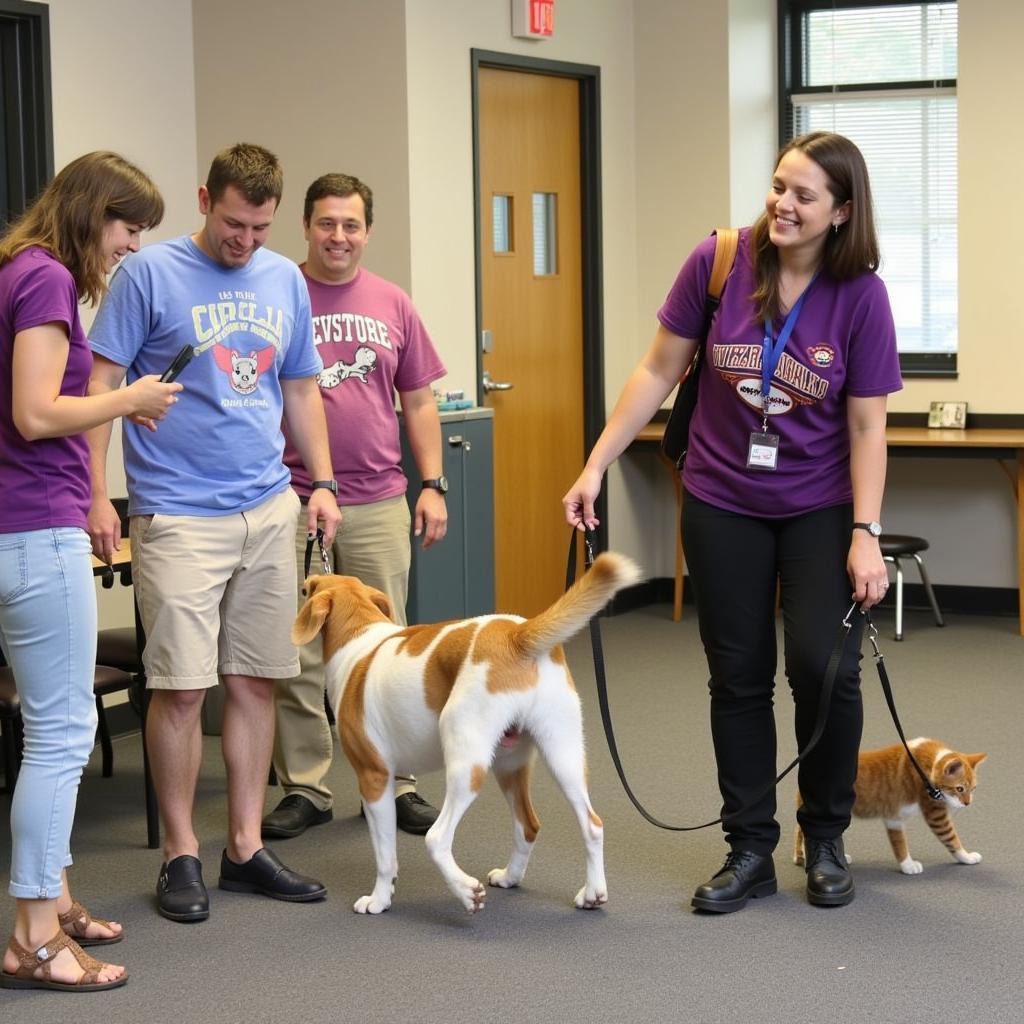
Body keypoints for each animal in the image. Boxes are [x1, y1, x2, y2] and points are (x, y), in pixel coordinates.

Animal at [290, 557, 638, 917]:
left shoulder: (374, 778)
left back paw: (467, 891)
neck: (358, 638)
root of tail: (516, 635)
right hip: (546, 757)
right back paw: (570, 888)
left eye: (304, 589)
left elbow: (386, 857)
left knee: (437, 838)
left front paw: (379, 899)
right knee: (572, 825)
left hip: (466, 759)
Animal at [790, 737, 983, 872]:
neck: (928, 762)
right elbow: (949, 838)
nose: (967, 803)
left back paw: (804, 857)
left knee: (801, 829)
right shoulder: (930, 814)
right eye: (959, 789)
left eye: (973, 789)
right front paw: (909, 866)